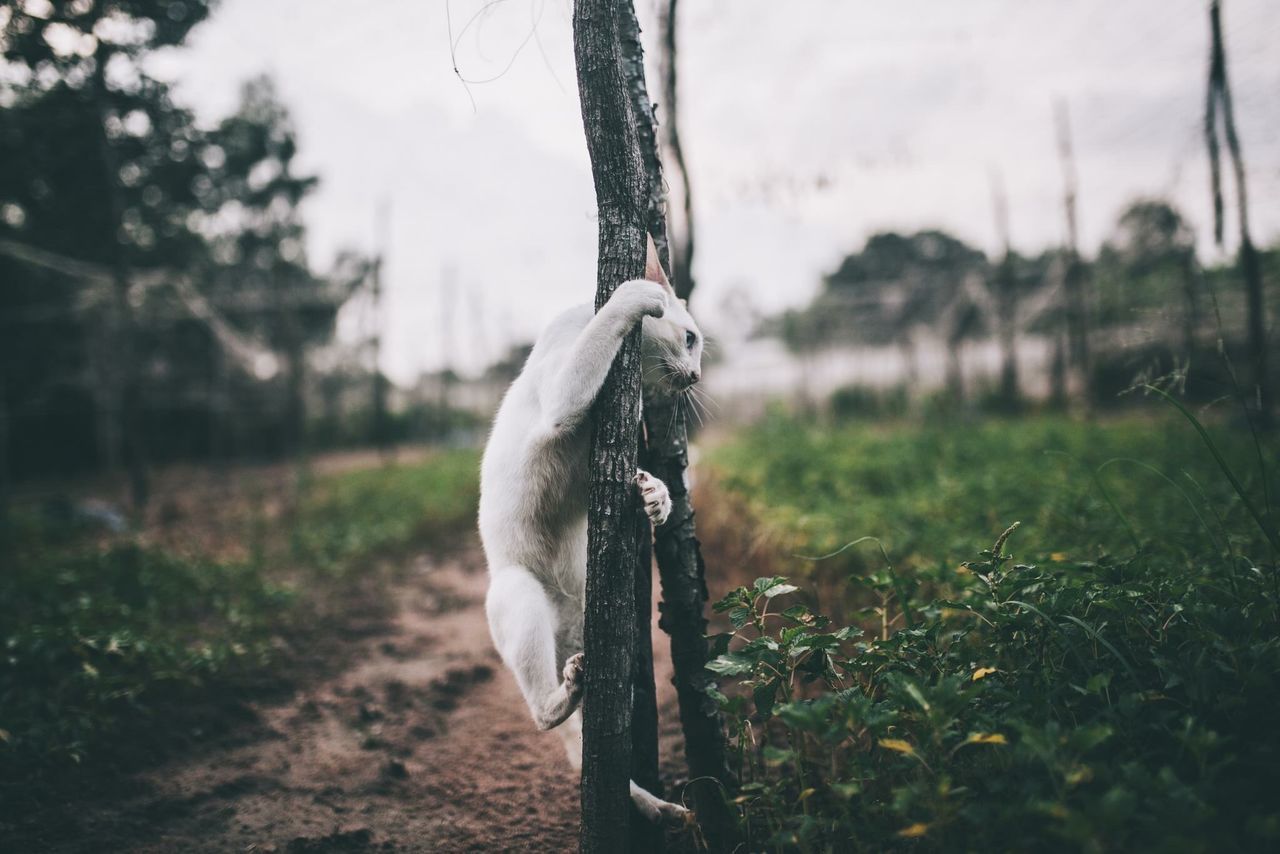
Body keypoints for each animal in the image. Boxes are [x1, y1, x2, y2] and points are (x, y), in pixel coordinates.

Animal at [478, 236, 701, 824]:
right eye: (691, 340)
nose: (697, 377)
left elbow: (650, 483)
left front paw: (656, 498)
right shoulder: (563, 391)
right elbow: (604, 326)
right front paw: (635, 296)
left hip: (613, 632)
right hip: (518, 594)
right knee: (541, 713)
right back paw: (562, 695)